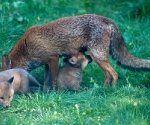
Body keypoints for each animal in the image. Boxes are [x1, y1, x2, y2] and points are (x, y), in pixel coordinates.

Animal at [2, 13, 150, 92]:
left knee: (114, 73)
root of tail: (104, 18)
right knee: (109, 75)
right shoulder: (46, 63)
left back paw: (111, 91)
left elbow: (53, 80)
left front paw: (54, 93)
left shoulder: (53, 58)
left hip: (98, 56)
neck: (27, 49)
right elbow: (46, 81)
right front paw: (44, 94)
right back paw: (103, 90)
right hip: (99, 58)